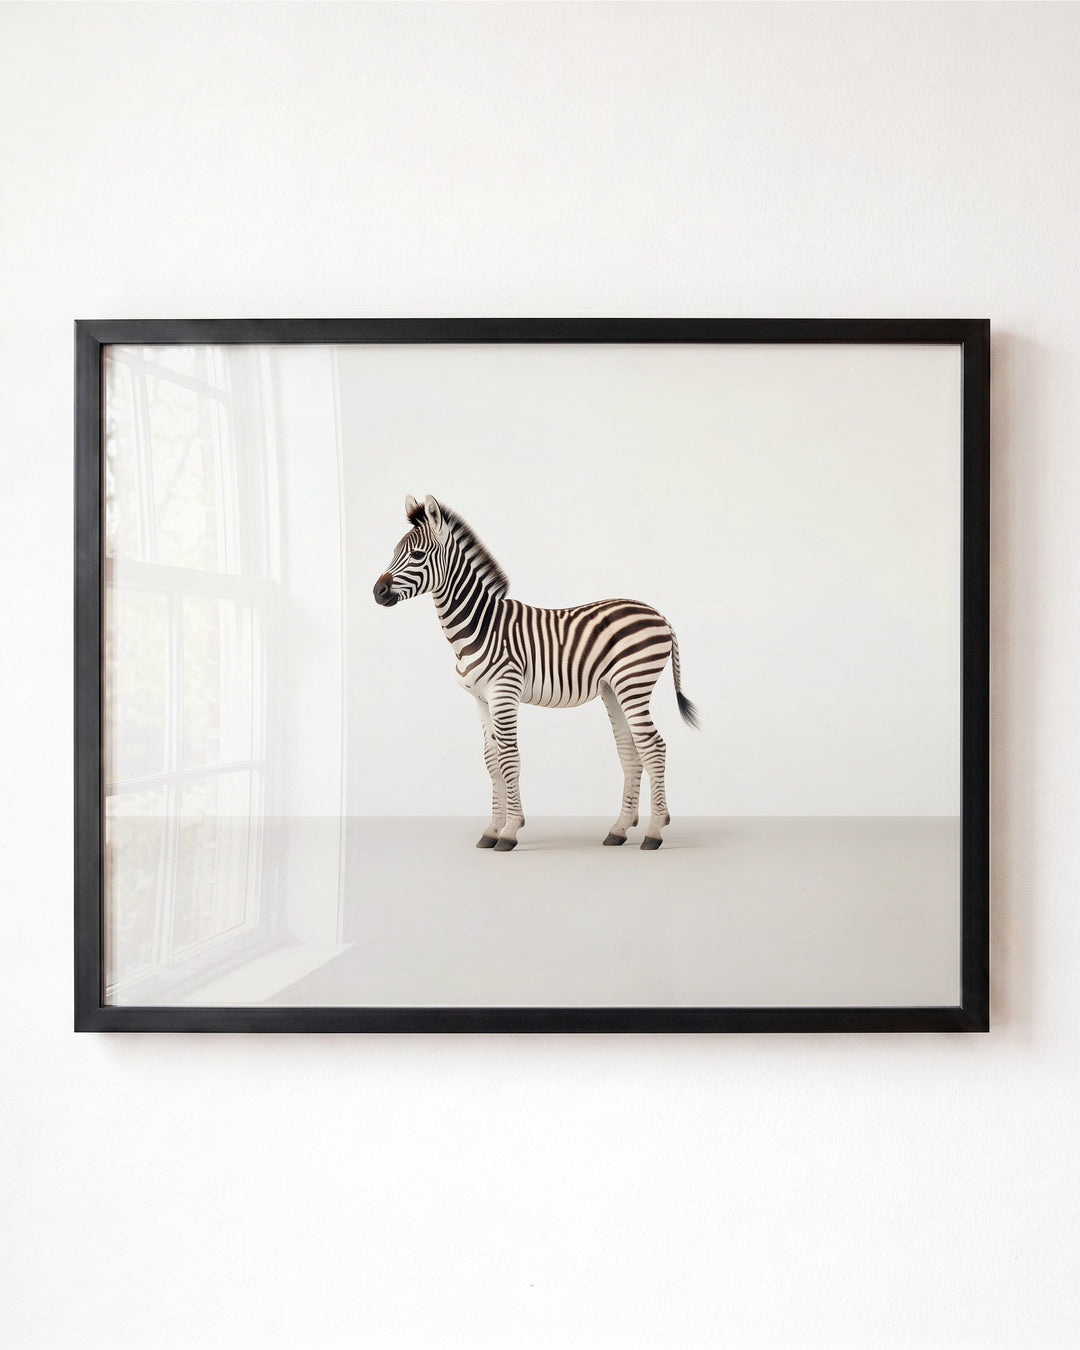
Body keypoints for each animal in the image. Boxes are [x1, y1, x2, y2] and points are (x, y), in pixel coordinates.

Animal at [373, 494, 699, 851]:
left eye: (417, 555)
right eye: (394, 552)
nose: (377, 592)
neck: (478, 626)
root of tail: (659, 614)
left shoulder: (504, 692)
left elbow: (509, 758)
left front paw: (510, 831)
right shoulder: (480, 699)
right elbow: (491, 760)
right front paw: (491, 830)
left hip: (634, 682)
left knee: (654, 747)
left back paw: (654, 832)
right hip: (613, 689)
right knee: (630, 749)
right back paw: (619, 829)